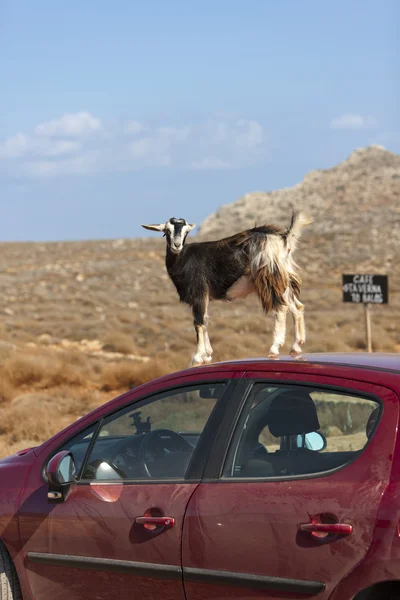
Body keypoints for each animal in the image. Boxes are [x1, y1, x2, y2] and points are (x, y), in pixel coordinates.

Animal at [142, 209, 314, 364]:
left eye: (186, 232)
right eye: (166, 231)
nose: (176, 245)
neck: (183, 258)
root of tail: (283, 238)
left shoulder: (199, 291)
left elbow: (199, 322)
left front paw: (198, 356)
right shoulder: (206, 296)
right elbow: (206, 320)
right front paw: (208, 354)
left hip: (269, 277)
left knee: (281, 308)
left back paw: (274, 348)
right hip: (284, 280)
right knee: (297, 307)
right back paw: (296, 346)